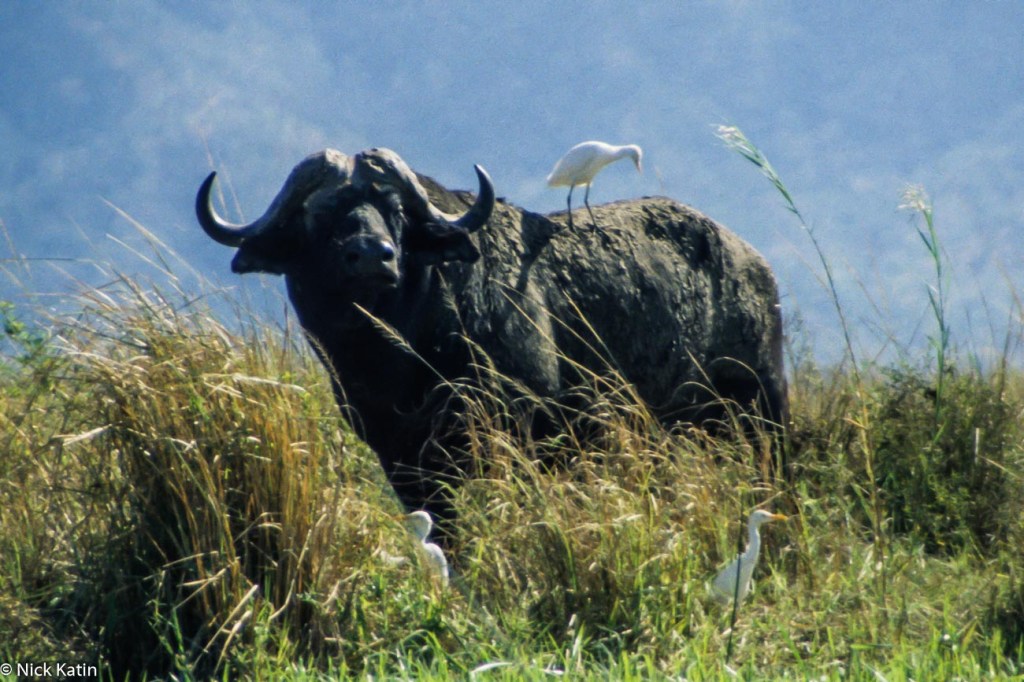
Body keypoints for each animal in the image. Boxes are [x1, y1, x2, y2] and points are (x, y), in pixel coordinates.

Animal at [196, 147, 786, 535]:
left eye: (396, 211)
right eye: (320, 213)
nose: (372, 256)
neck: (402, 359)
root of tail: (751, 261)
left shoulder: (525, 434)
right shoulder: (403, 462)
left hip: (762, 410)